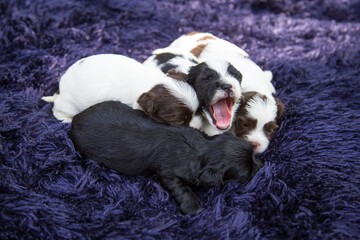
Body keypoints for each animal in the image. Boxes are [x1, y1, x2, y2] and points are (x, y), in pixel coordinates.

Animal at [70, 100, 262, 215]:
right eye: (245, 172)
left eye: (253, 154)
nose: (261, 166)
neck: (200, 148)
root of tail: (75, 119)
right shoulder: (169, 173)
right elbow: (182, 190)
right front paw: (194, 209)